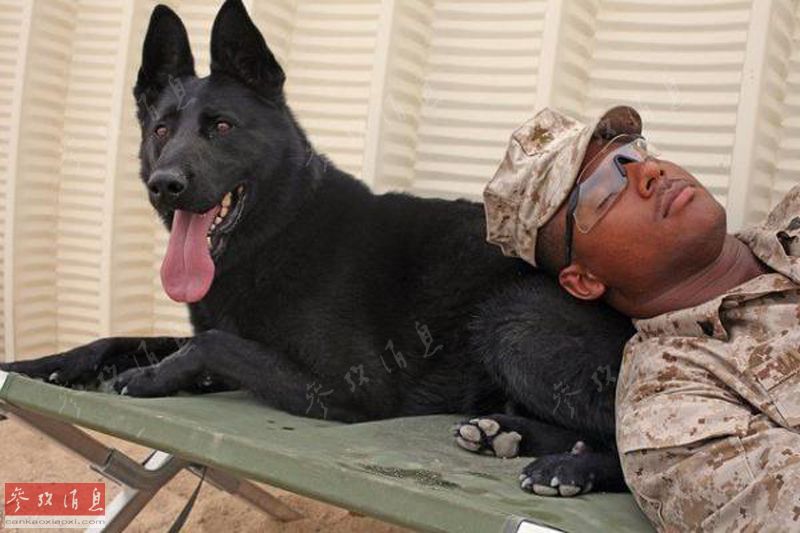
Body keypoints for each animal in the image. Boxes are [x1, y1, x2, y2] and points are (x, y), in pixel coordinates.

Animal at [1, 0, 634, 497]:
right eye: (160, 130)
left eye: (222, 127)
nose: (165, 185)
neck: (278, 232)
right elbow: (121, 337)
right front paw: (36, 365)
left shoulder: (347, 387)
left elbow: (210, 342)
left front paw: (152, 377)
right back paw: (505, 433)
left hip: (511, 318)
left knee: (628, 440)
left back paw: (570, 469)